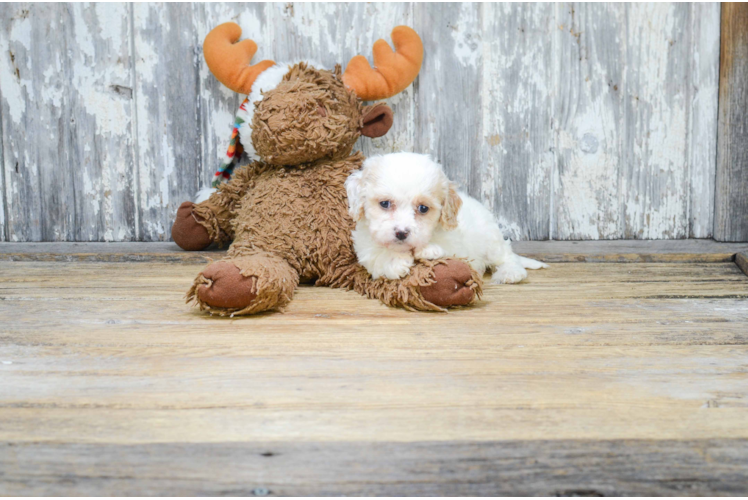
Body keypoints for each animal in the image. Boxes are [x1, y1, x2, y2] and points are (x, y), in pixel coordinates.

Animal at [346, 152, 548, 284]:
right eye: (385, 204)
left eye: (423, 208)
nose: (402, 233)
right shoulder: (364, 245)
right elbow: (375, 254)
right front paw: (394, 261)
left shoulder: (459, 244)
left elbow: (449, 250)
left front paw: (429, 249)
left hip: (491, 241)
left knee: (507, 256)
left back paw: (510, 273)